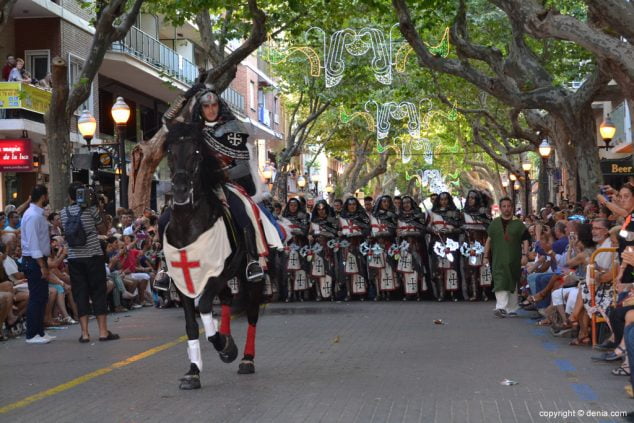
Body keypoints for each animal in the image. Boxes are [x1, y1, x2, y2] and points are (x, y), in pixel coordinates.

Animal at [163, 122, 264, 390]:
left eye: (197, 152)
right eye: (169, 151)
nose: (180, 191)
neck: (188, 224)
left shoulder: (221, 271)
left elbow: (206, 305)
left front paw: (225, 346)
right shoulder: (183, 279)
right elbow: (190, 324)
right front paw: (193, 371)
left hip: (249, 276)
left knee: (252, 313)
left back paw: (246, 358)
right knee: (228, 298)